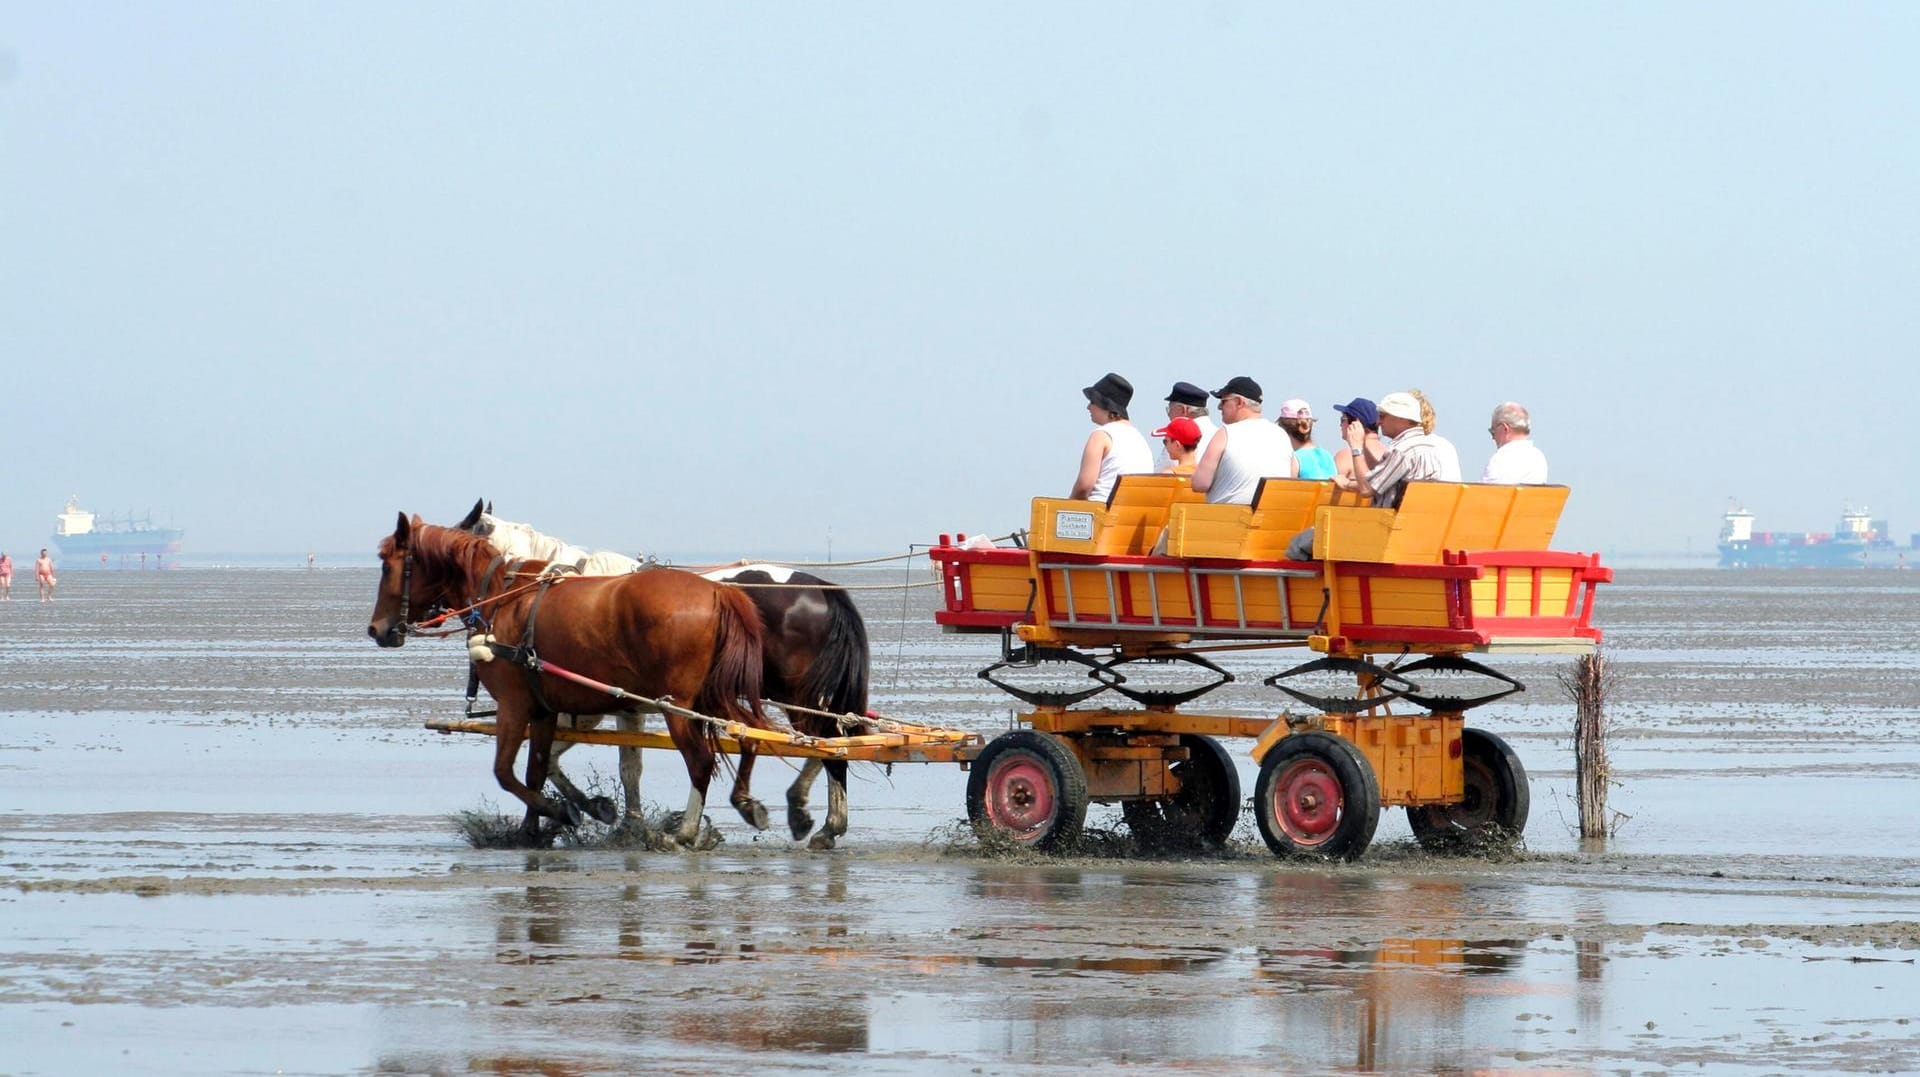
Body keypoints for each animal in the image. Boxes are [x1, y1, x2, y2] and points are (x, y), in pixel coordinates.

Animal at [366, 510, 771, 848]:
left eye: (387, 566)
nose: (377, 630)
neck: (502, 597)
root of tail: (717, 590)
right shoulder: (544, 709)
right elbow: (537, 769)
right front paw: (532, 829)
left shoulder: (514, 705)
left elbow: (505, 773)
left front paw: (560, 811)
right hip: (712, 697)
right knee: (750, 735)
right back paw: (745, 803)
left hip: (678, 706)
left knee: (701, 761)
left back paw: (686, 832)